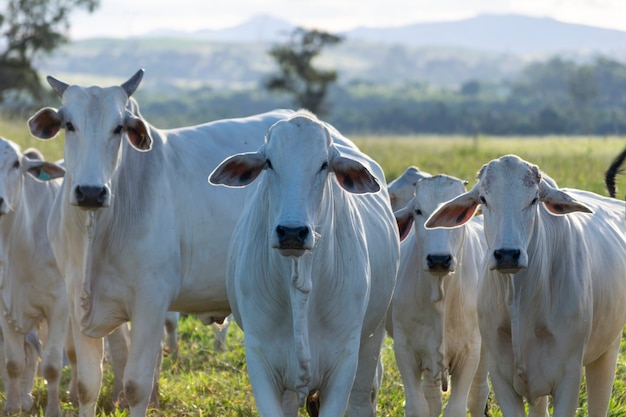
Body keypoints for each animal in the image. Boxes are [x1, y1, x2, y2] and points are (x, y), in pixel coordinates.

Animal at [27, 69, 294, 416]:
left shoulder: (150, 303)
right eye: (69, 124)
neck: (96, 229)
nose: (91, 192)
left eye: (118, 128)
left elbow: (136, 386)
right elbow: (87, 385)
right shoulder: (75, 302)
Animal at [207, 109, 398, 414]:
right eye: (269, 163)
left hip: (372, 339)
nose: (292, 232)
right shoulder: (260, 361)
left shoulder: (344, 364)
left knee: (361, 399)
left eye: (324, 165)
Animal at [390, 174, 488, 416]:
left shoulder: (471, 352)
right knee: (431, 396)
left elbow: (457, 408)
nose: (438, 259)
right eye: (418, 211)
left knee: (478, 393)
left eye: (459, 216)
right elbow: (418, 406)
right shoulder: (404, 350)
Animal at [424, 154, 624, 416]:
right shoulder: (501, 377)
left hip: (607, 351)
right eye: (483, 199)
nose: (507, 254)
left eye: (534, 199)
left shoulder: (569, 377)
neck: (520, 301)